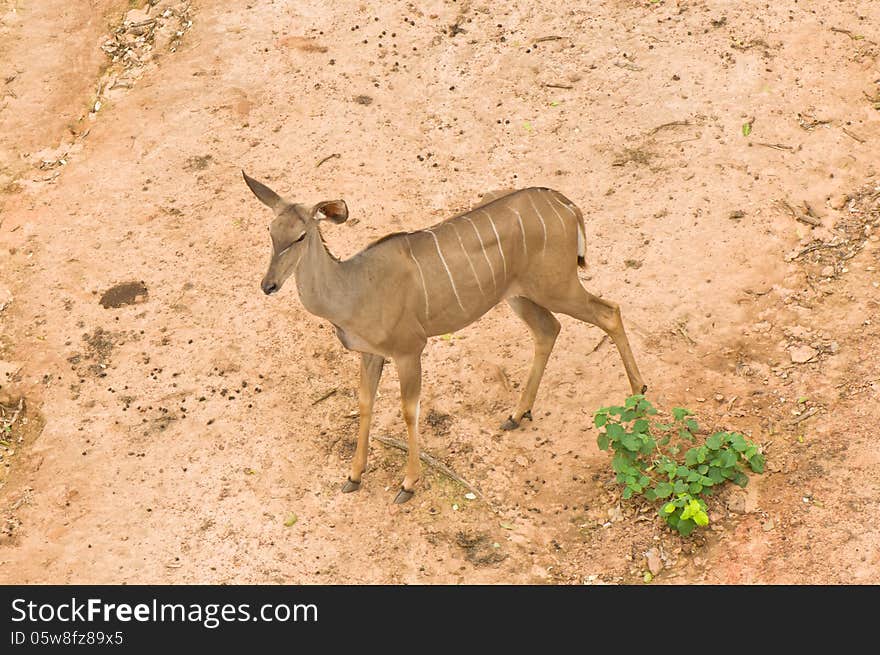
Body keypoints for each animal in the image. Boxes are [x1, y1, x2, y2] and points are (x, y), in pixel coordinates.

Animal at [242, 172, 648, 504]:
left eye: (300, 235)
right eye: (270, 233)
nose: (268, 285)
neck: (354, 288)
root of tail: (565, 204)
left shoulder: (409, 350)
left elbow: (409, 411)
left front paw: (408, 485)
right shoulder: (370, 354)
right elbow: (365, 404)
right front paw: (354, 476)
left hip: (557, 286)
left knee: (609, 312)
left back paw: (638, 395)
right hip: (520, 295)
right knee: (548, 330)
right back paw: (517, 414)